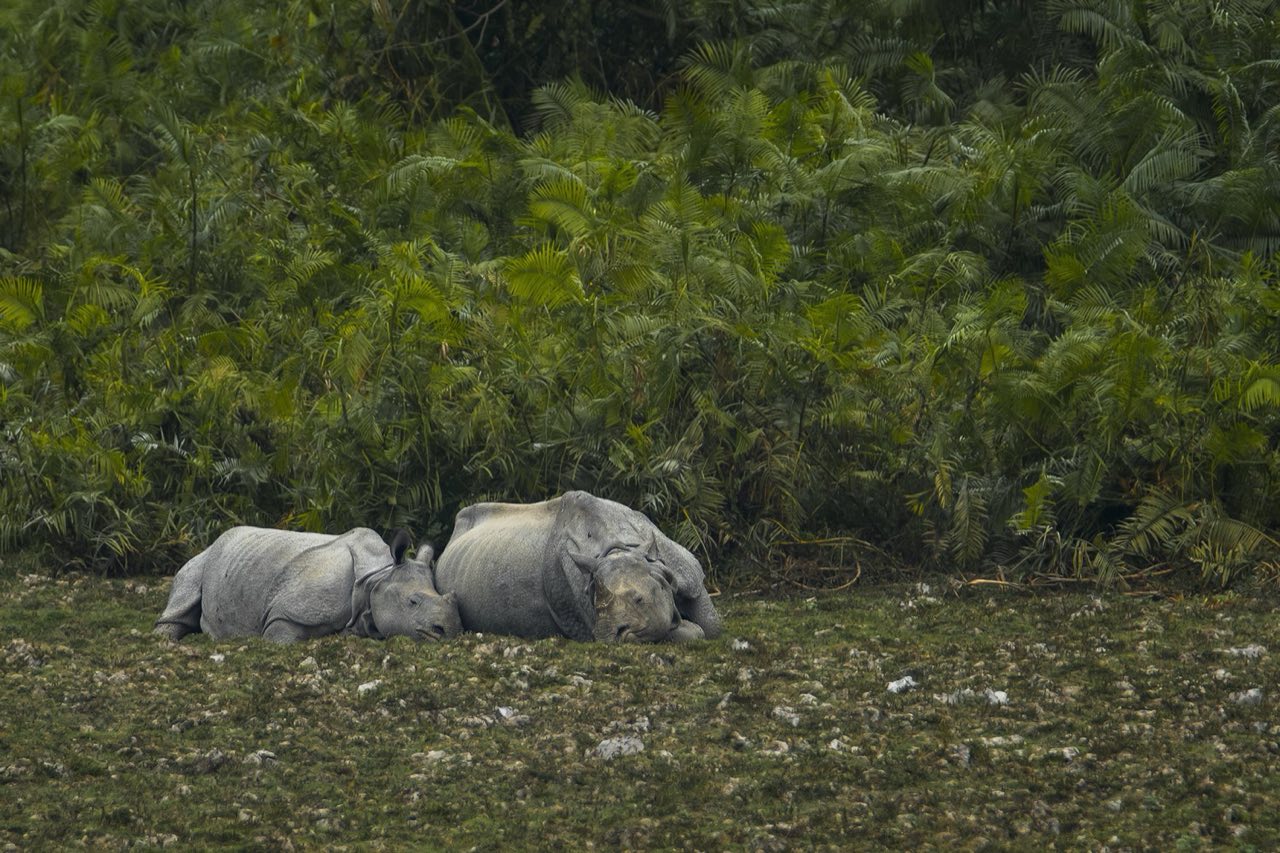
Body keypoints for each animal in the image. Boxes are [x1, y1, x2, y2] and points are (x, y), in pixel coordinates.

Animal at [154, 526, 462, 643]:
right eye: (413, 602)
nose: (448, 630)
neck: (377, 579)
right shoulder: (285, 614)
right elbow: (281, 637)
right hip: (204, 557)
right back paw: (167, 640)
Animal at [434, 491, 721, 643]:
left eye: (640, 600)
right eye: (594, 602)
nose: (607, 635)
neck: (618, 549)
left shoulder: (686, 573)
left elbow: (711, 625)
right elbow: (691, 631)